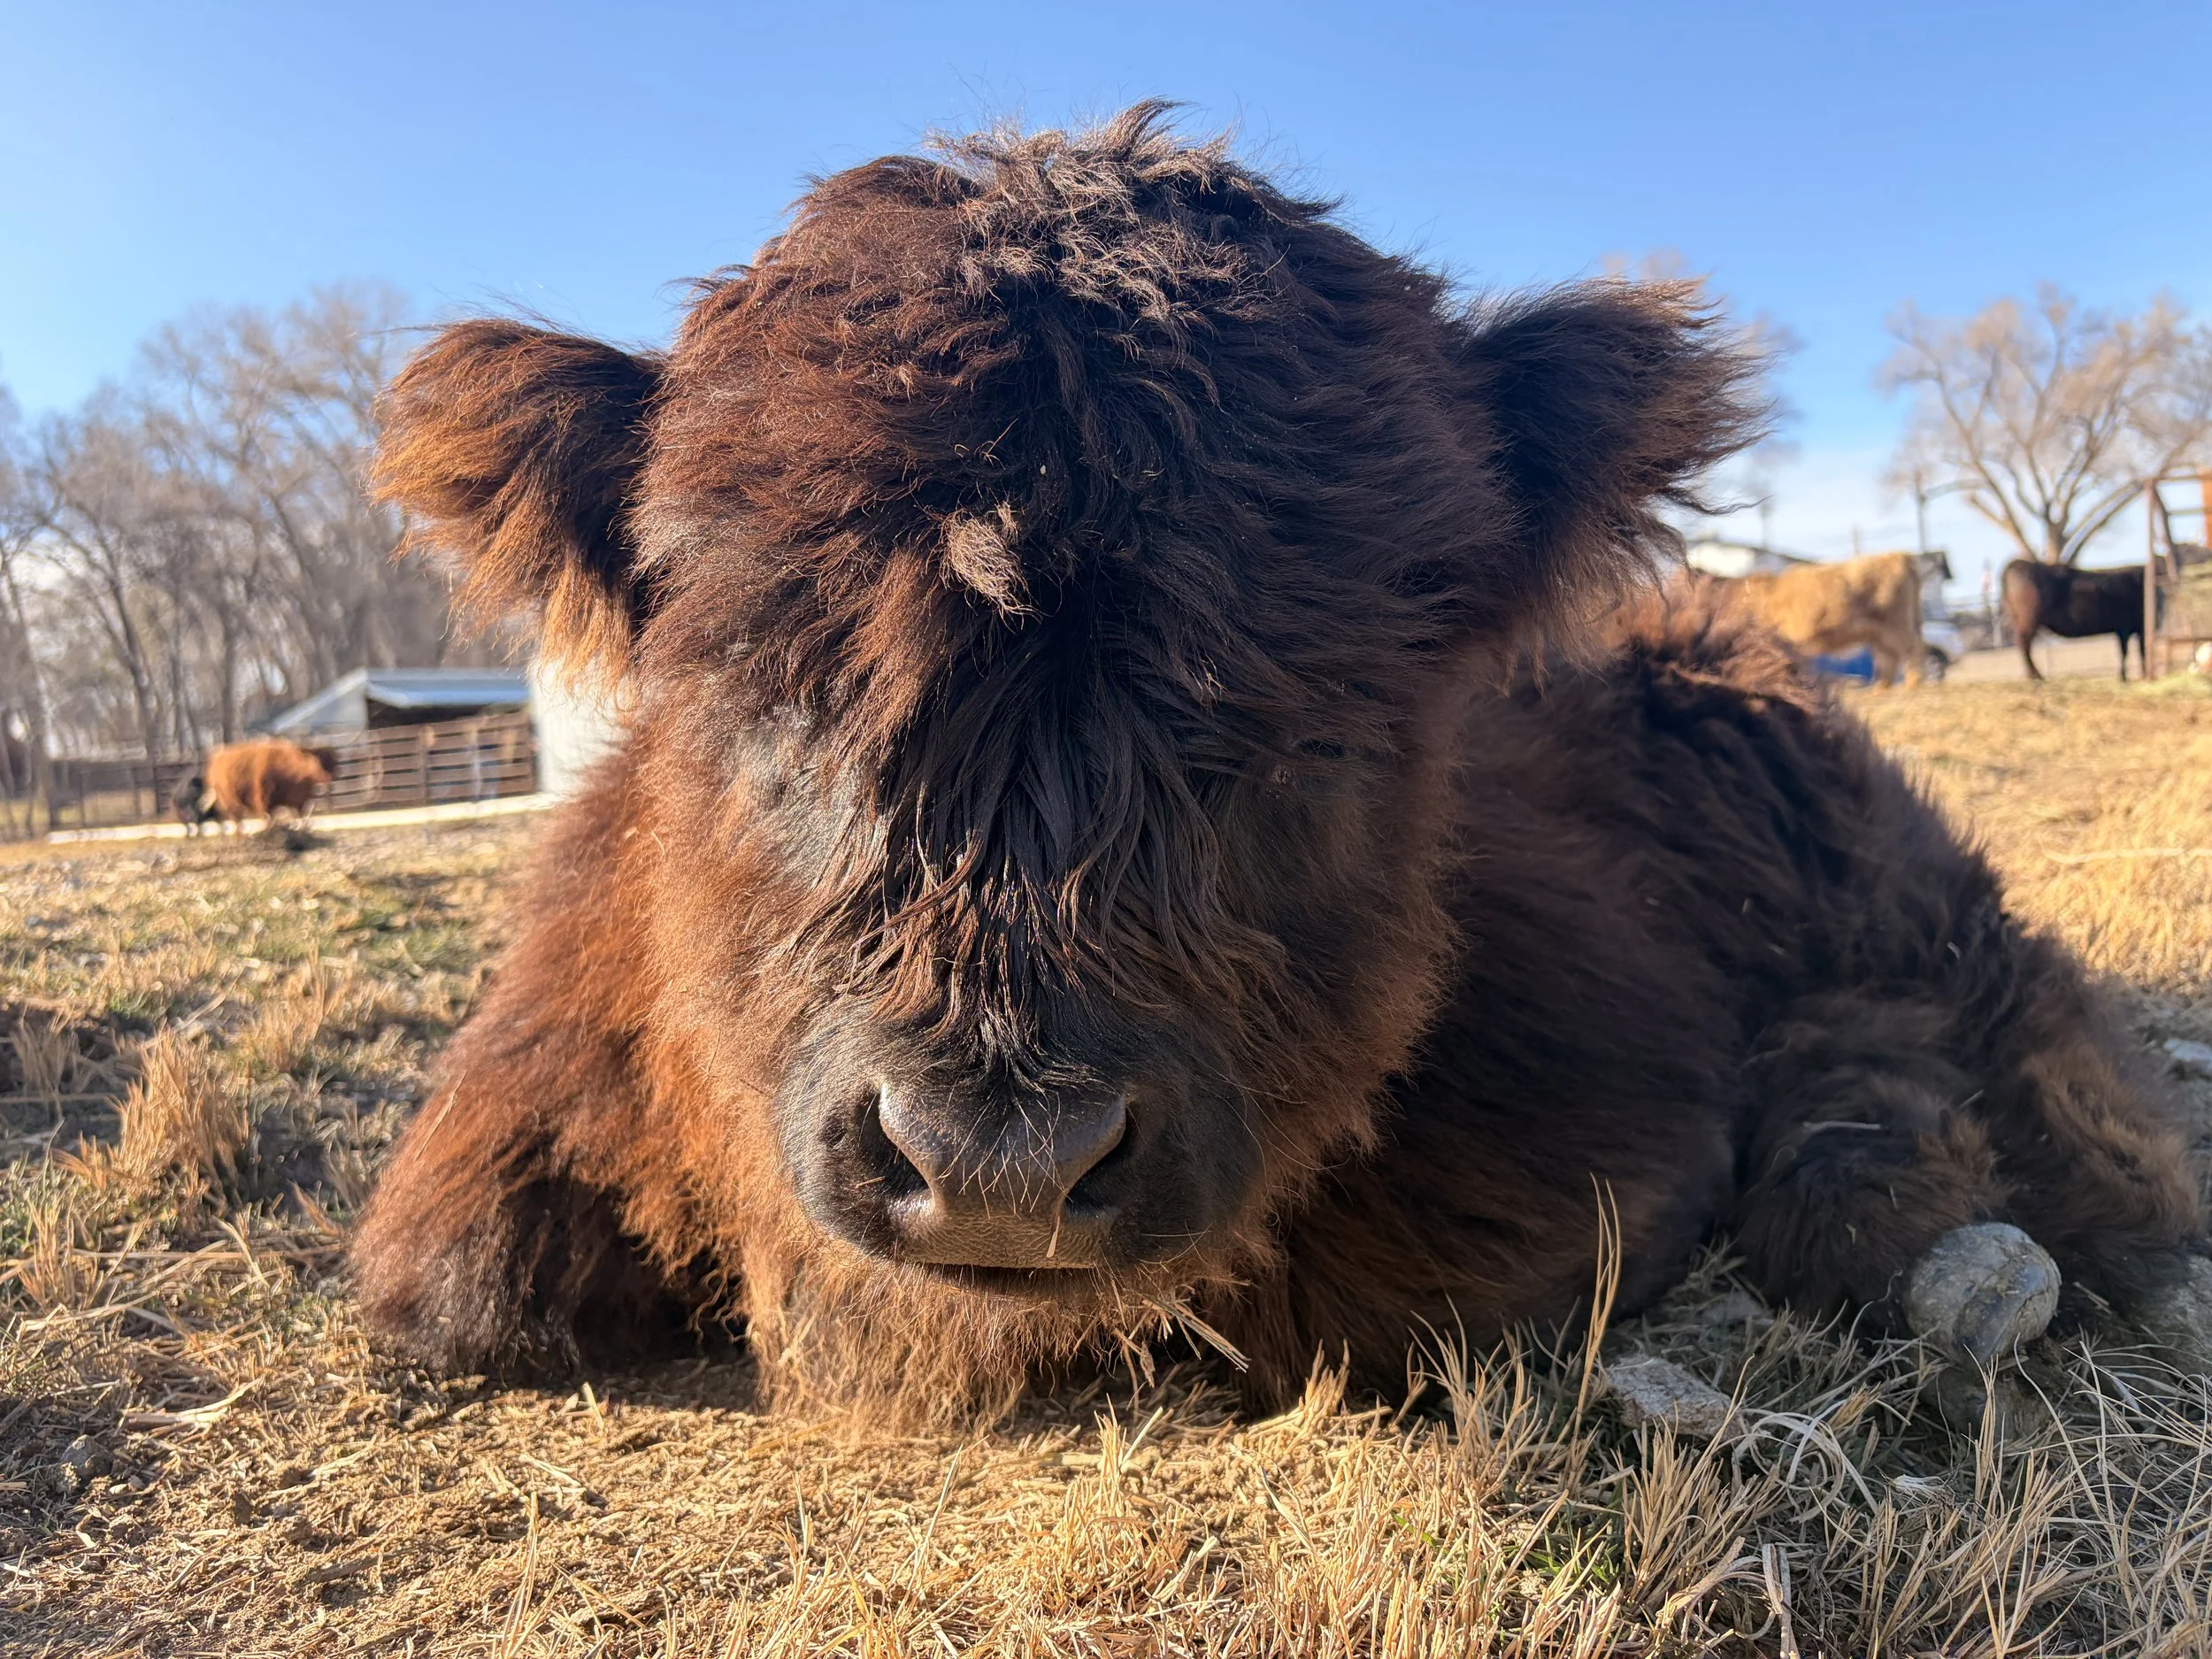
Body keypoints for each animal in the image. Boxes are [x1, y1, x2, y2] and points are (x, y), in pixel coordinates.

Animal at [1728, 550, 1942, 687]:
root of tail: (1899, 556)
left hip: (1896, 624)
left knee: (1914, 650)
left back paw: (1913, 685)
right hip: (1881, 632)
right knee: (1889, 659)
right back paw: (1880, 690)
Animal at [2002, 558, 2149, 681]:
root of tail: (2016, 564)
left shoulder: (2129, 628)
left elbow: (2134, 651)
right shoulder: (2129, 627)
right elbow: (2131, 651)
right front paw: (2129, 677)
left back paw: (2032, 676)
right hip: (2029, 620)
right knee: (2024, 645)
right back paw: (2037, 677)